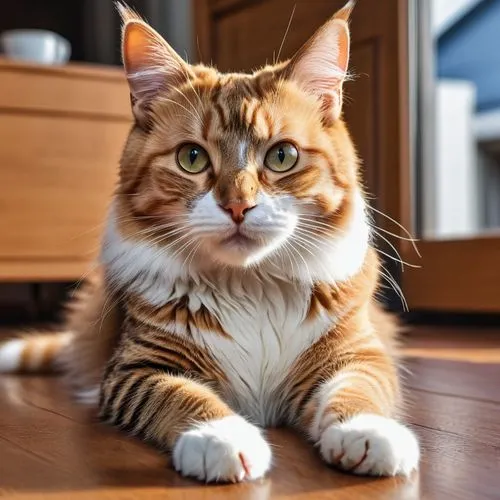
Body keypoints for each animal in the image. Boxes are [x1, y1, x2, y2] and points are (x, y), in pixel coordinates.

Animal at [0, 1, 418, 482]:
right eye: (192, 158)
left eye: (282, 156)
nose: (238, 206)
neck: (252, 286)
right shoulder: (137, 368)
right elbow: (183, 396)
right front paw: (221, 438)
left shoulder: (359, 353)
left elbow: (359, 391)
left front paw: (367, 432)